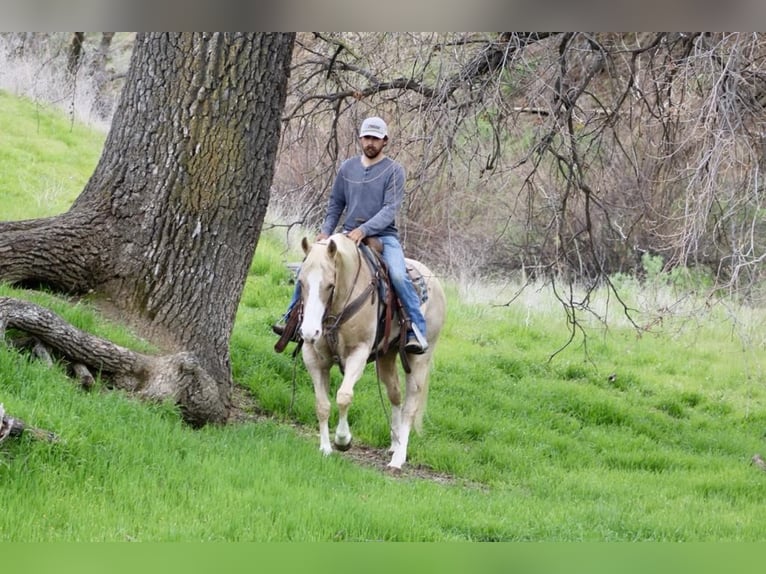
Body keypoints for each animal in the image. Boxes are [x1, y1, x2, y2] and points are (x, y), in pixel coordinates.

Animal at [296, 232, 446, 470]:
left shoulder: (358, 353)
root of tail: (436, 284)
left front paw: (343, 440)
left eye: (330, 285)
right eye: (300, 282)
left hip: (420, 359)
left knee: (411, 405)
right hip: (386, 357)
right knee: (395, 394)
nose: (310, 331)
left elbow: (343, 396)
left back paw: (398, 458)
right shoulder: (313, 358)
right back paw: (394, 443)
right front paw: (325, 449)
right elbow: (322, 405)